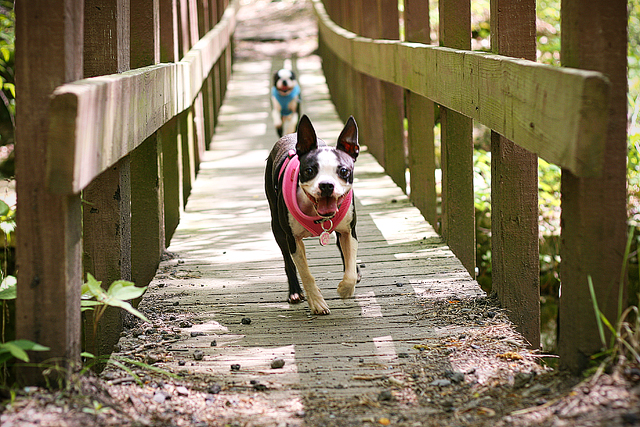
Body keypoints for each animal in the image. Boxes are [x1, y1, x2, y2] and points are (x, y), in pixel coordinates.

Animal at [264, 113, 360, 314]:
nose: (326, 185)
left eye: (343, 171)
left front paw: (346, 288)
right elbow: (306, 273)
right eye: (309, 171)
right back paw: (294, 292)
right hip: (278, 228)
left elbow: (350, 270)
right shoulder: (293, 240)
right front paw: (317, 302)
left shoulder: (349, 231)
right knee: (288, 262)